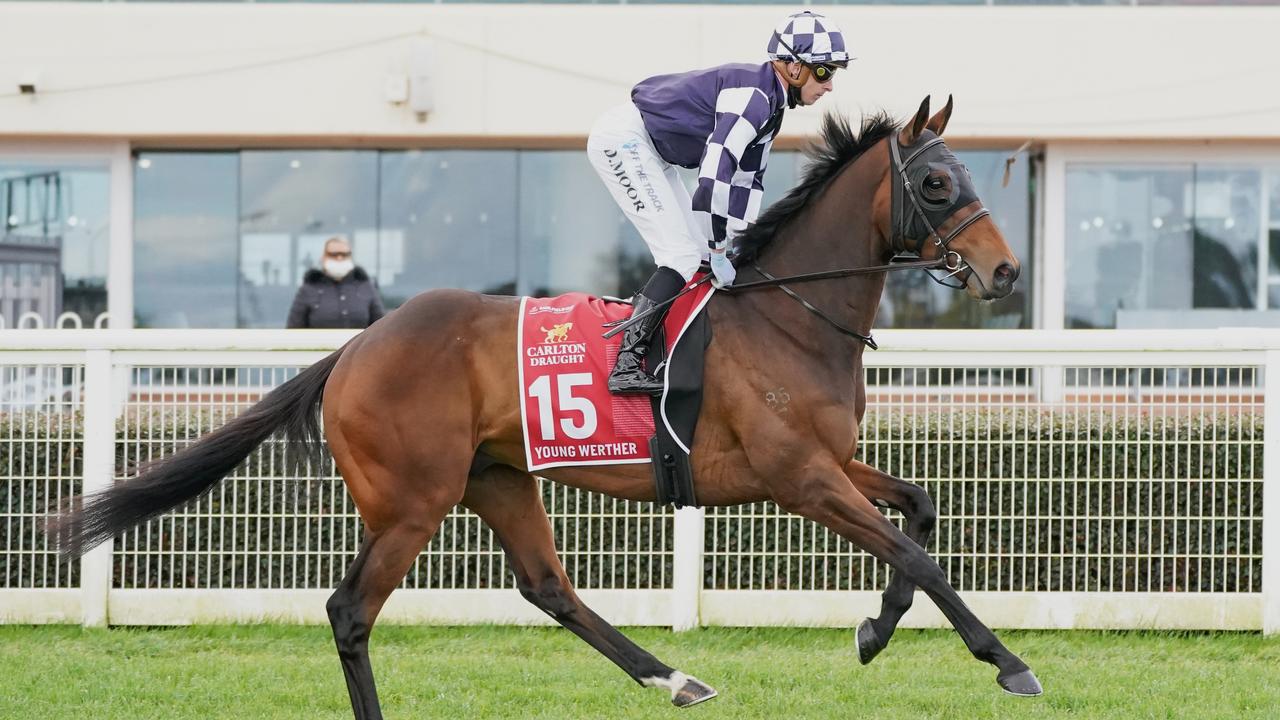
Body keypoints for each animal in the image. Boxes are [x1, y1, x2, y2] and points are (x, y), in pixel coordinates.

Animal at [55, 96, 1044, 717]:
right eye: (937, 183)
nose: (1004, 270)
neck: (788, 315)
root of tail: (356, 348)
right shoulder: (797, 477)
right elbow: (919, 555)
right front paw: (1008, 663)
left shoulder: (829, 464)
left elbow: (919, 513)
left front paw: (873, 630)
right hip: (412, 500)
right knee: (349, 610)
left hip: (497, 478)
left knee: (548, 587)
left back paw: (676, 680)